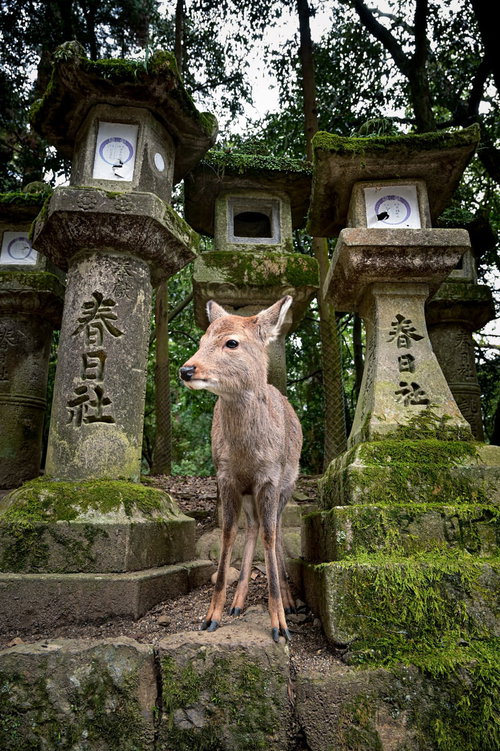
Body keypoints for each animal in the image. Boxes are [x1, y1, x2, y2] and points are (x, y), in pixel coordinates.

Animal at [179, 296, 302, 642]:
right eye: (201, 340)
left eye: (231, 342)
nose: (186, 369)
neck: (247, 455)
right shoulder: (225, 477)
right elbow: (228, 534)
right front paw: (211, 617)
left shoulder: (271, 478)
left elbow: (272, 537)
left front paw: (280, 626)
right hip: (249, 495)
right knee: (253, 526)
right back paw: (238, 600)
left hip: (288, 484)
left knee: (274, 528)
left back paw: (289, 600)